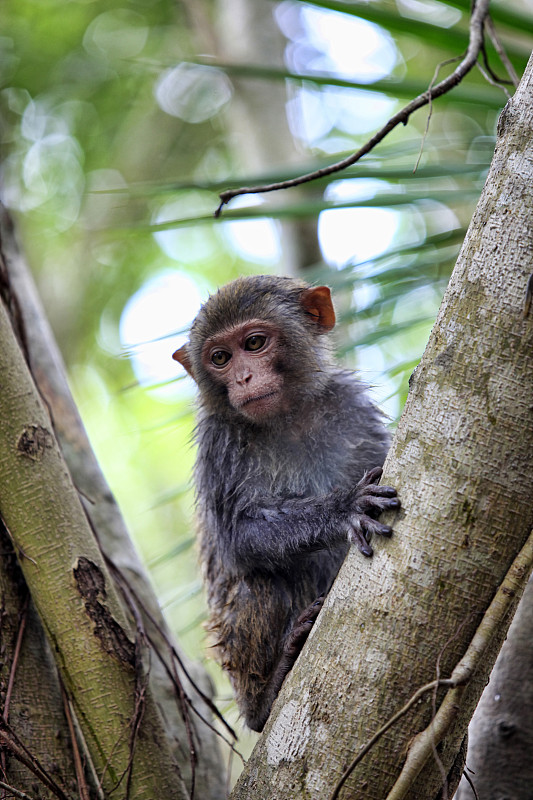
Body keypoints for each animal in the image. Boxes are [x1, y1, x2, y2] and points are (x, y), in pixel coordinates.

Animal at [172, 276, 396, 732]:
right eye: (220, 358)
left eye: (255, 343)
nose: (243, 377)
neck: (288, 418)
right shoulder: (219, 442)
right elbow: (238, 540)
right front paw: (341, 509)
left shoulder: (351, 406)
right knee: (262, 580)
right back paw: (266, 696)